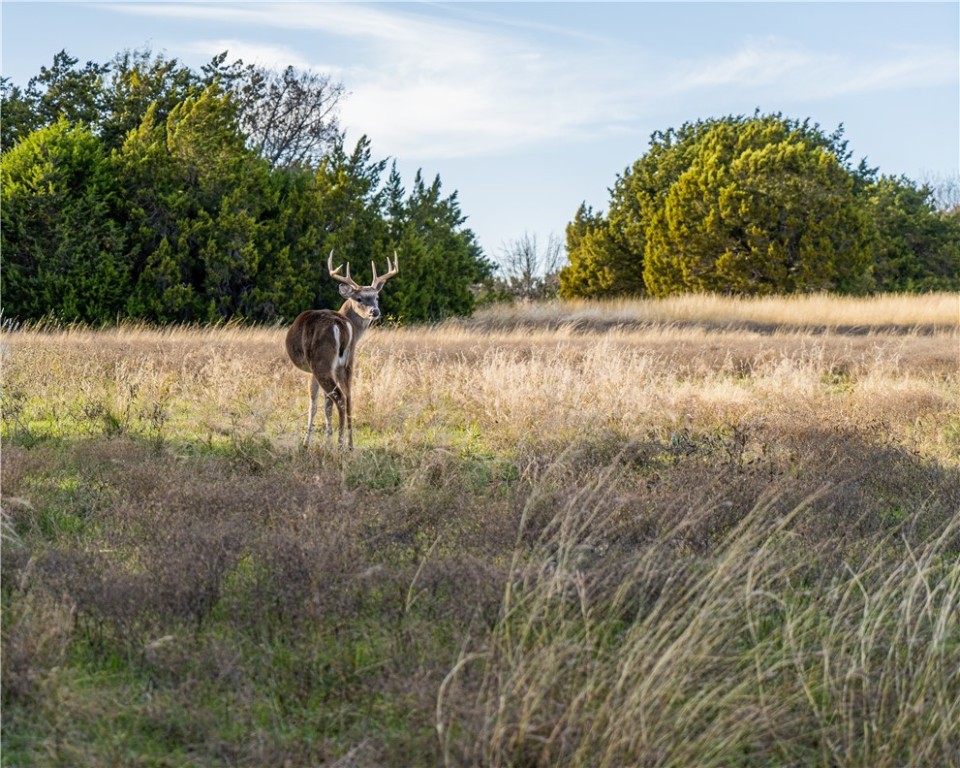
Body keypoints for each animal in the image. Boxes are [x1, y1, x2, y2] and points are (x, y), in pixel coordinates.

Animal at [288, 249, 402, 450]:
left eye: (376, 297)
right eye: (359, 298)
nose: (375, 311)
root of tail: (339, 323)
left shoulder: (312, 370)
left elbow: (315, 404)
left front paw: (308, 443)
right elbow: (327, 404)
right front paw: (328, 440)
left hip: (321, 362)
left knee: (339, 398)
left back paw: (340, 445)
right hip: (347, 363)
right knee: (348, 397)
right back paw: (349, 445)